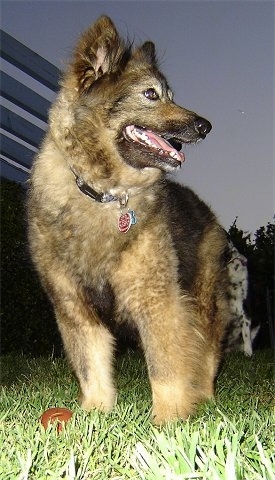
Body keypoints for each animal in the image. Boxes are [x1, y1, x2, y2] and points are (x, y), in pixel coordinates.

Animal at [28, 15, 233, 422]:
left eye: (168, 94)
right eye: (151, 94)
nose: (205, 126)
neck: (103, 193)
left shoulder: (157, 299)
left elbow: (165, 367)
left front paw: (169, 422)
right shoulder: (73, 306)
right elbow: (91, 368)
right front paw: (93, 416)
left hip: (203, 302)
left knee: (206, 353)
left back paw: (205, 398)